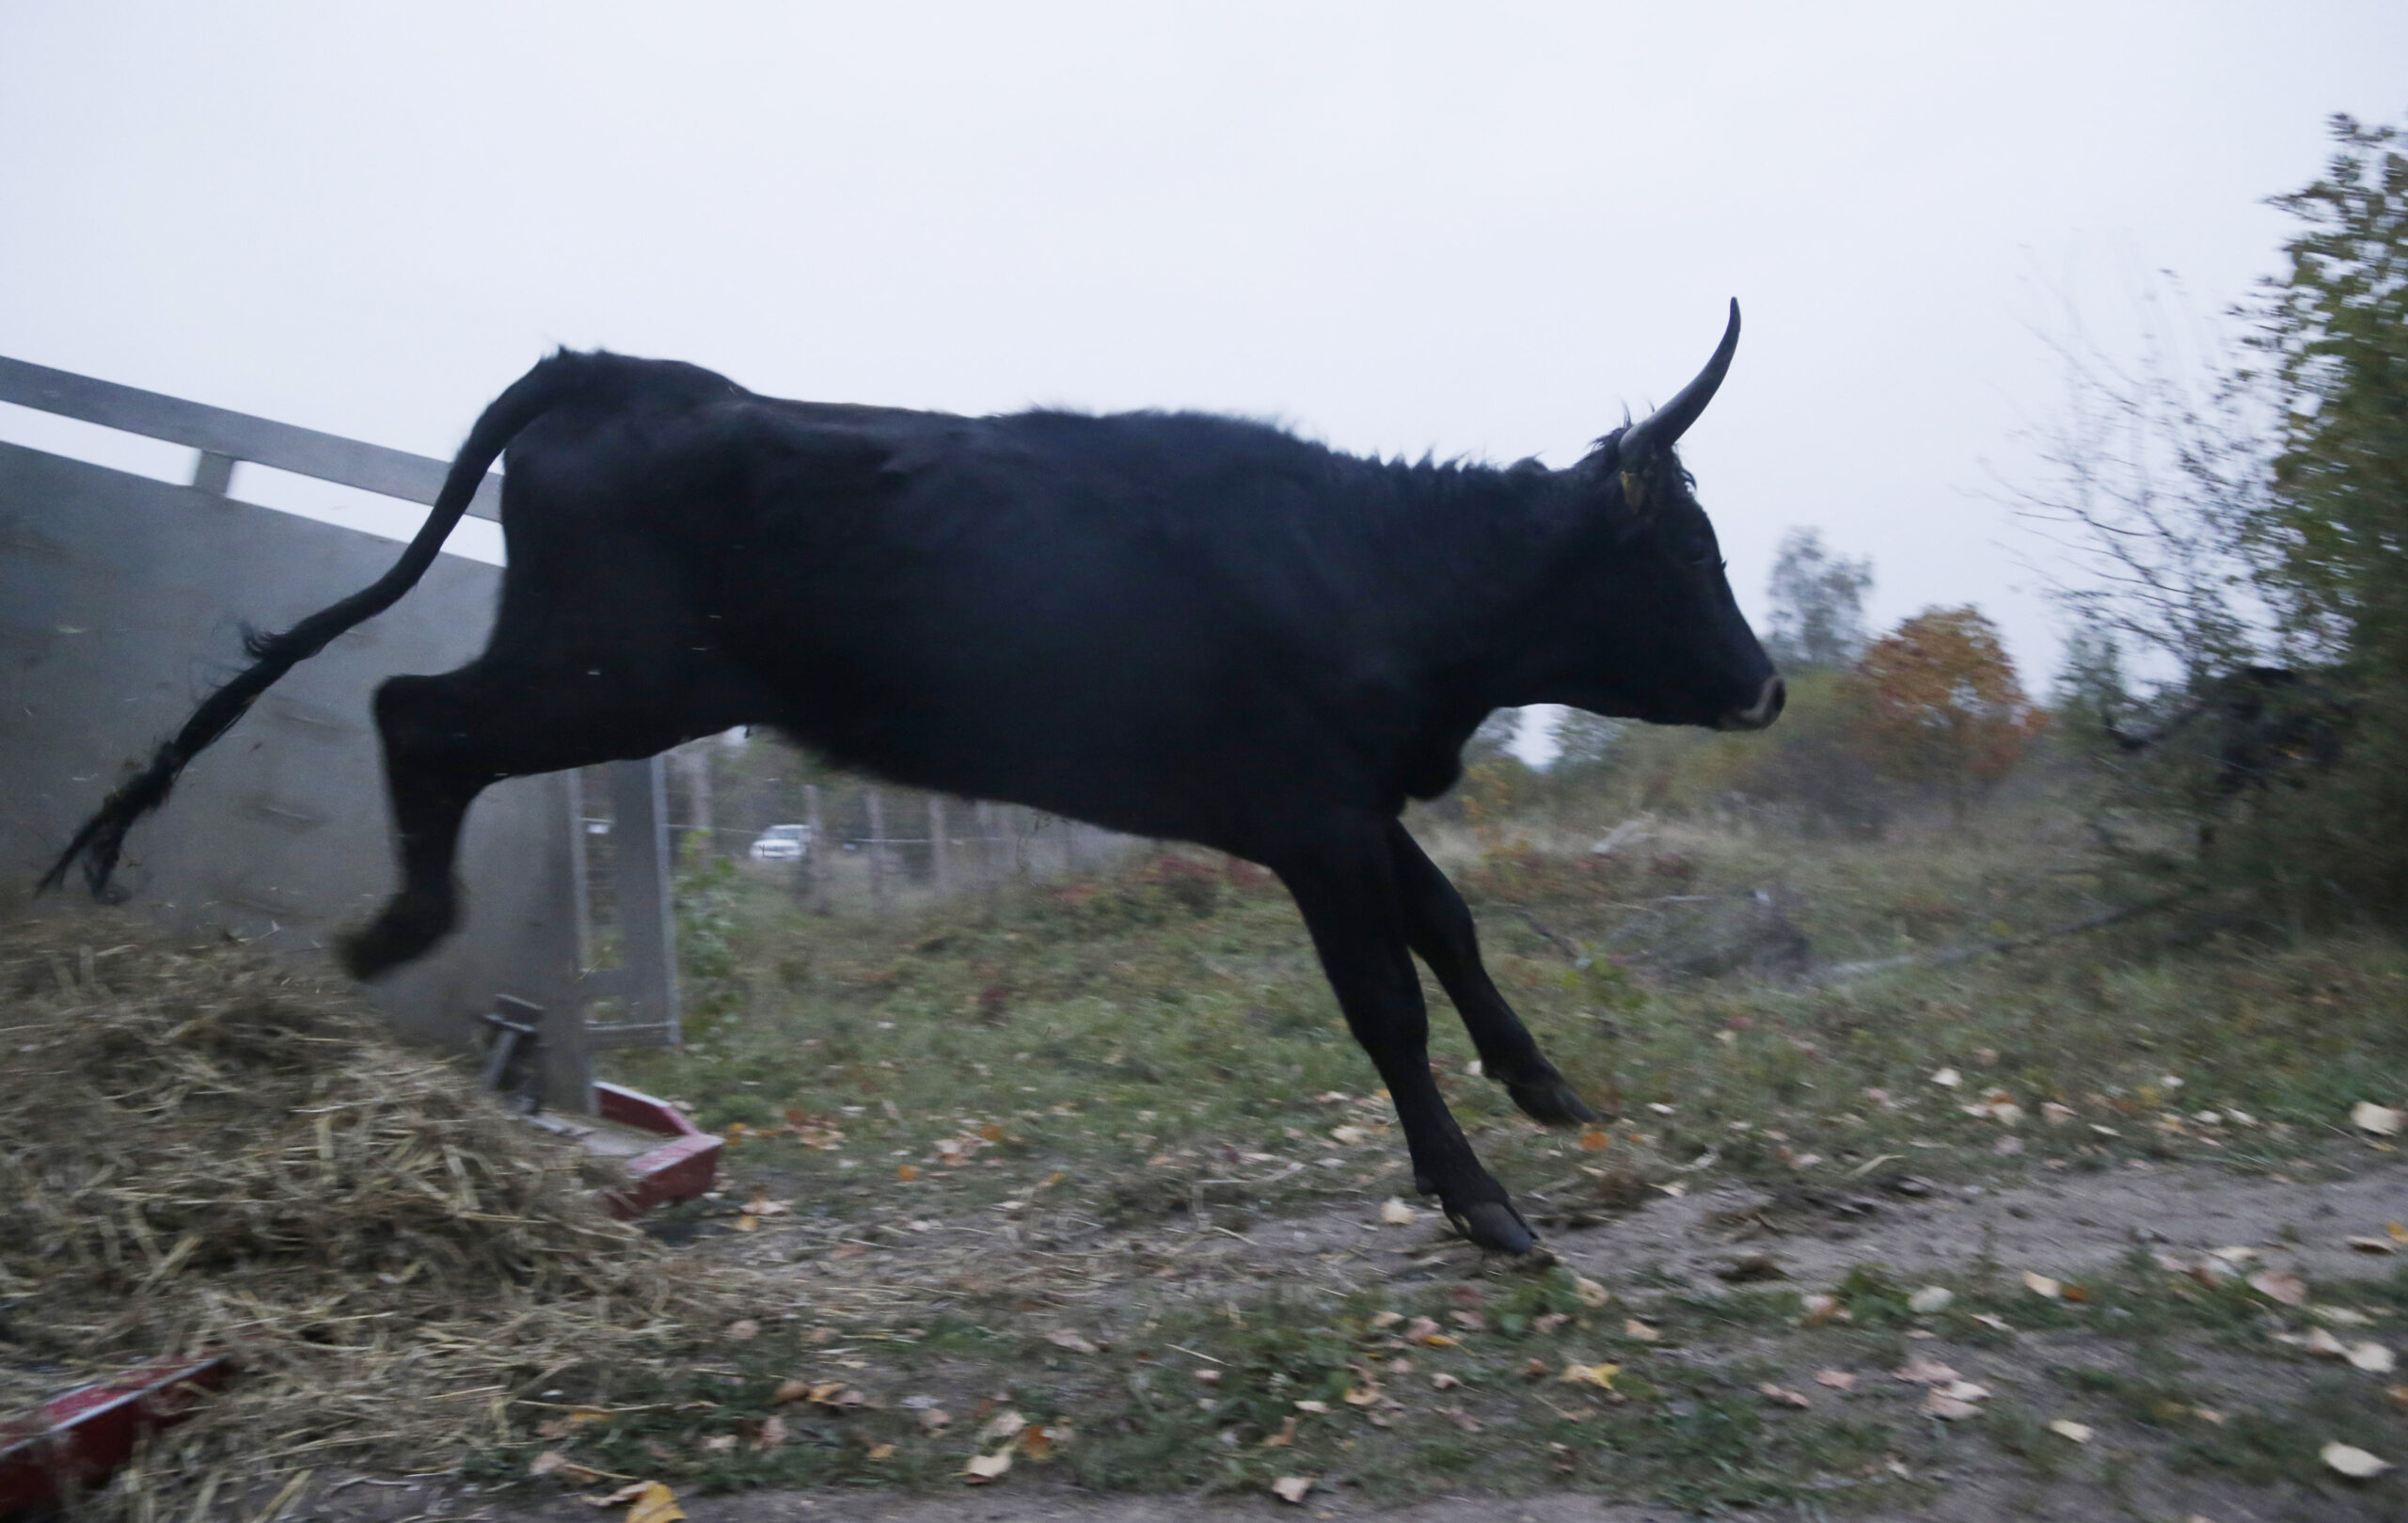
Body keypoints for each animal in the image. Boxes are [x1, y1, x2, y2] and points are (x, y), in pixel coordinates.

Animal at [46, 303, 1782, 1253]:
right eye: (1683, 551)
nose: (1766, 683)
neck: (1373, 565)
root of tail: (628, 369)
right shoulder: (1304, 813)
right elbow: (1386, 1003)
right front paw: (1482, 1201)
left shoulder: (1346, 806)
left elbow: (1451, 927)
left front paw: (1546, 1085)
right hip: (609, 675)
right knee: (415, 710)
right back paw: (397, 924)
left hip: (608, 676)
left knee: (420, 712)